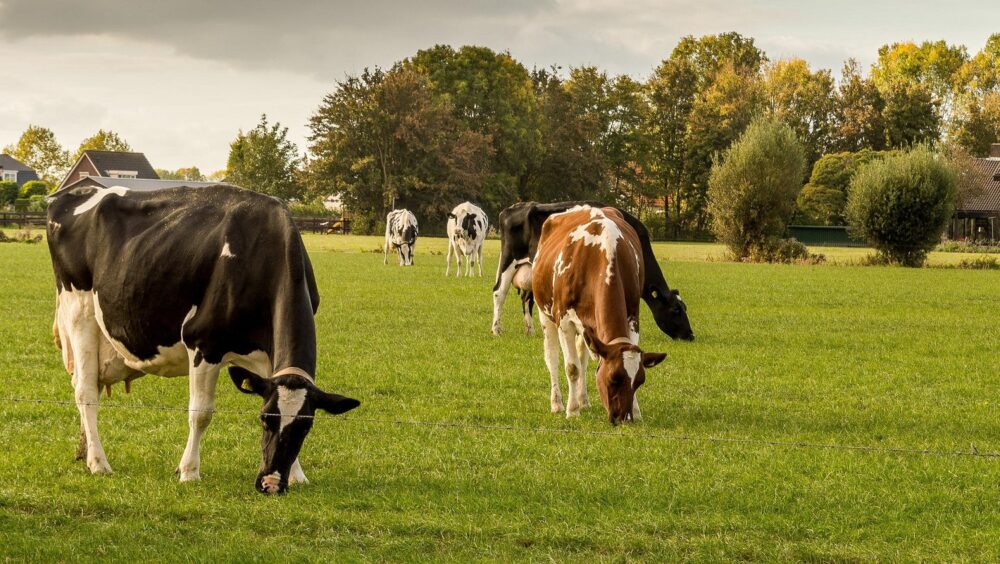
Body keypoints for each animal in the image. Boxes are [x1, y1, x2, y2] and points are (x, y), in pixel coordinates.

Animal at [47, 184, 360, 494]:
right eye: (263, 419)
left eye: (307, 427)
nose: (270, 483)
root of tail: (76, 192)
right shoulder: (204, 343)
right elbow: (201, 413)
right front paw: (188, 471)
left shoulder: (268, 358)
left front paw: (296, 475)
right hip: (80, 314)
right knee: (86, 392)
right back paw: (99, 462)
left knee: (90, 385)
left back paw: (84, 452)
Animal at [492, 200, 696, 342]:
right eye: (676, 310)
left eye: (685, 308)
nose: (690, 335)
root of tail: (510, 209)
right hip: (509, 261)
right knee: (499, 293)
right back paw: (496, 329)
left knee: (527, 299)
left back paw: (530, 330)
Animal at [536, 206, 668, 424]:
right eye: (613, 378)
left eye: (639, 381)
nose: (624, 418)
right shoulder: (564, 320)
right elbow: (572, 367)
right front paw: (572, 410)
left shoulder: (633, 317)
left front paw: (636, 410)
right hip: (545, 314)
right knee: (552, 357)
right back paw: (557, 403)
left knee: (582, 356)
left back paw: (583, 400)